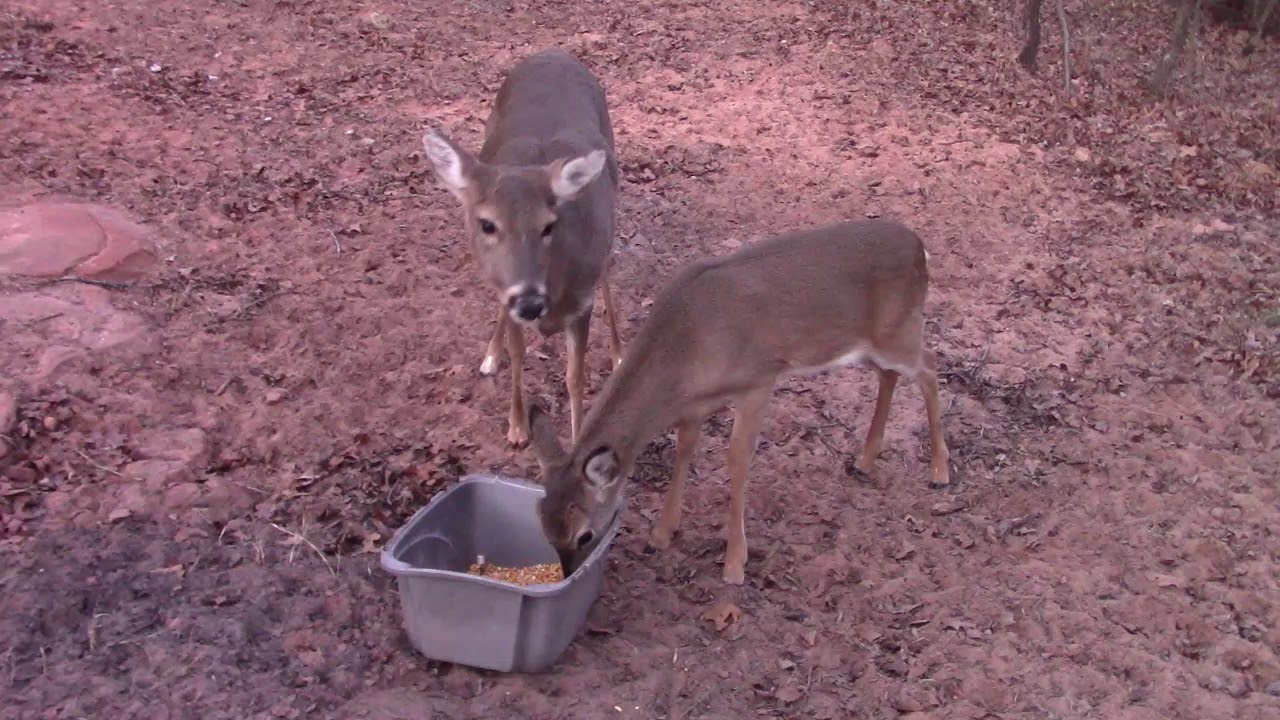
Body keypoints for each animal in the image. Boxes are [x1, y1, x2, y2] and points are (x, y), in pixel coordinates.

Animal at [421, 48, 624, 447]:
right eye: (487, 223)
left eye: (548, 225)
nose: (530, 303)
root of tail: (555, 52)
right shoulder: (509, 295)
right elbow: (518, 355)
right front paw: (516, 427)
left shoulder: (582, 303)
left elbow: (574, 378)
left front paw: (575, 442)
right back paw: (490, 356)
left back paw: (619, 353)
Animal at [527, 219, 951, 585]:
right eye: (544, 527)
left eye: (583, 534)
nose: (567, 574)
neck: (688, 345)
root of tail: (920, 247)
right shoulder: (695, 403)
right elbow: (685, 450)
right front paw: (663, 533)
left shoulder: (757, 380)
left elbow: (737, 460)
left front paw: (735, 563)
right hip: (870, 345)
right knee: (890, 375)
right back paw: (865, 460)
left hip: (899, 333)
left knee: (930, 367)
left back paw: (939, 471)